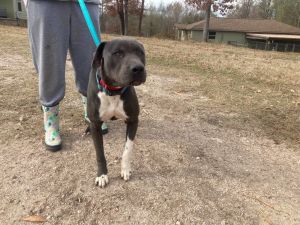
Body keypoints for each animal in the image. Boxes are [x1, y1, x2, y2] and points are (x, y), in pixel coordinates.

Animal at [86, 39, 147, 188]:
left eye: (140, 53)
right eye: (117, 53)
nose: (138, 68)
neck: (114, 90)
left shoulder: (133, 120)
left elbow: (127, 149)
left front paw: (125, 169)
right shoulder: (95, 124)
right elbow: (100, 153)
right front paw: (102, 175)